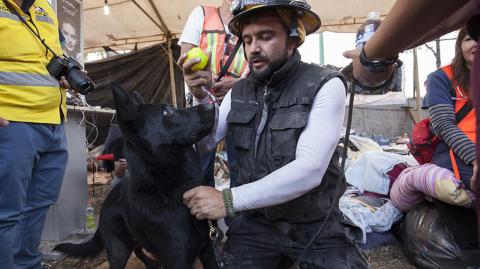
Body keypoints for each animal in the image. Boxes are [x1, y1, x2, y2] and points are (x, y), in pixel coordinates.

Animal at [54, 84, 218, 268]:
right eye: (167, 112)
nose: (212, 105)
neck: (167, 189)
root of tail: (107, 201)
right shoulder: (177, 259)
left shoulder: (206, 248)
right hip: (119, 249)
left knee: (138, 248)